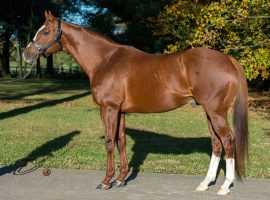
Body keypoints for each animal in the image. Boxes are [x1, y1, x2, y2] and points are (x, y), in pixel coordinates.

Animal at [24, 11, 248, 195]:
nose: (27, 54)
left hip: (216, 113)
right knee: (217, 144)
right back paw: (204, 183)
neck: (105, 60)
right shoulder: (121, 112)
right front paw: (121, 179)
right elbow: (121, 141)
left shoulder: (108, 110)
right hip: (210, 113)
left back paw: (225, 186)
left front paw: (106, 180)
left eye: (45, 32)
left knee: (228, 141)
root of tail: (227, 59)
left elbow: (109, 142)